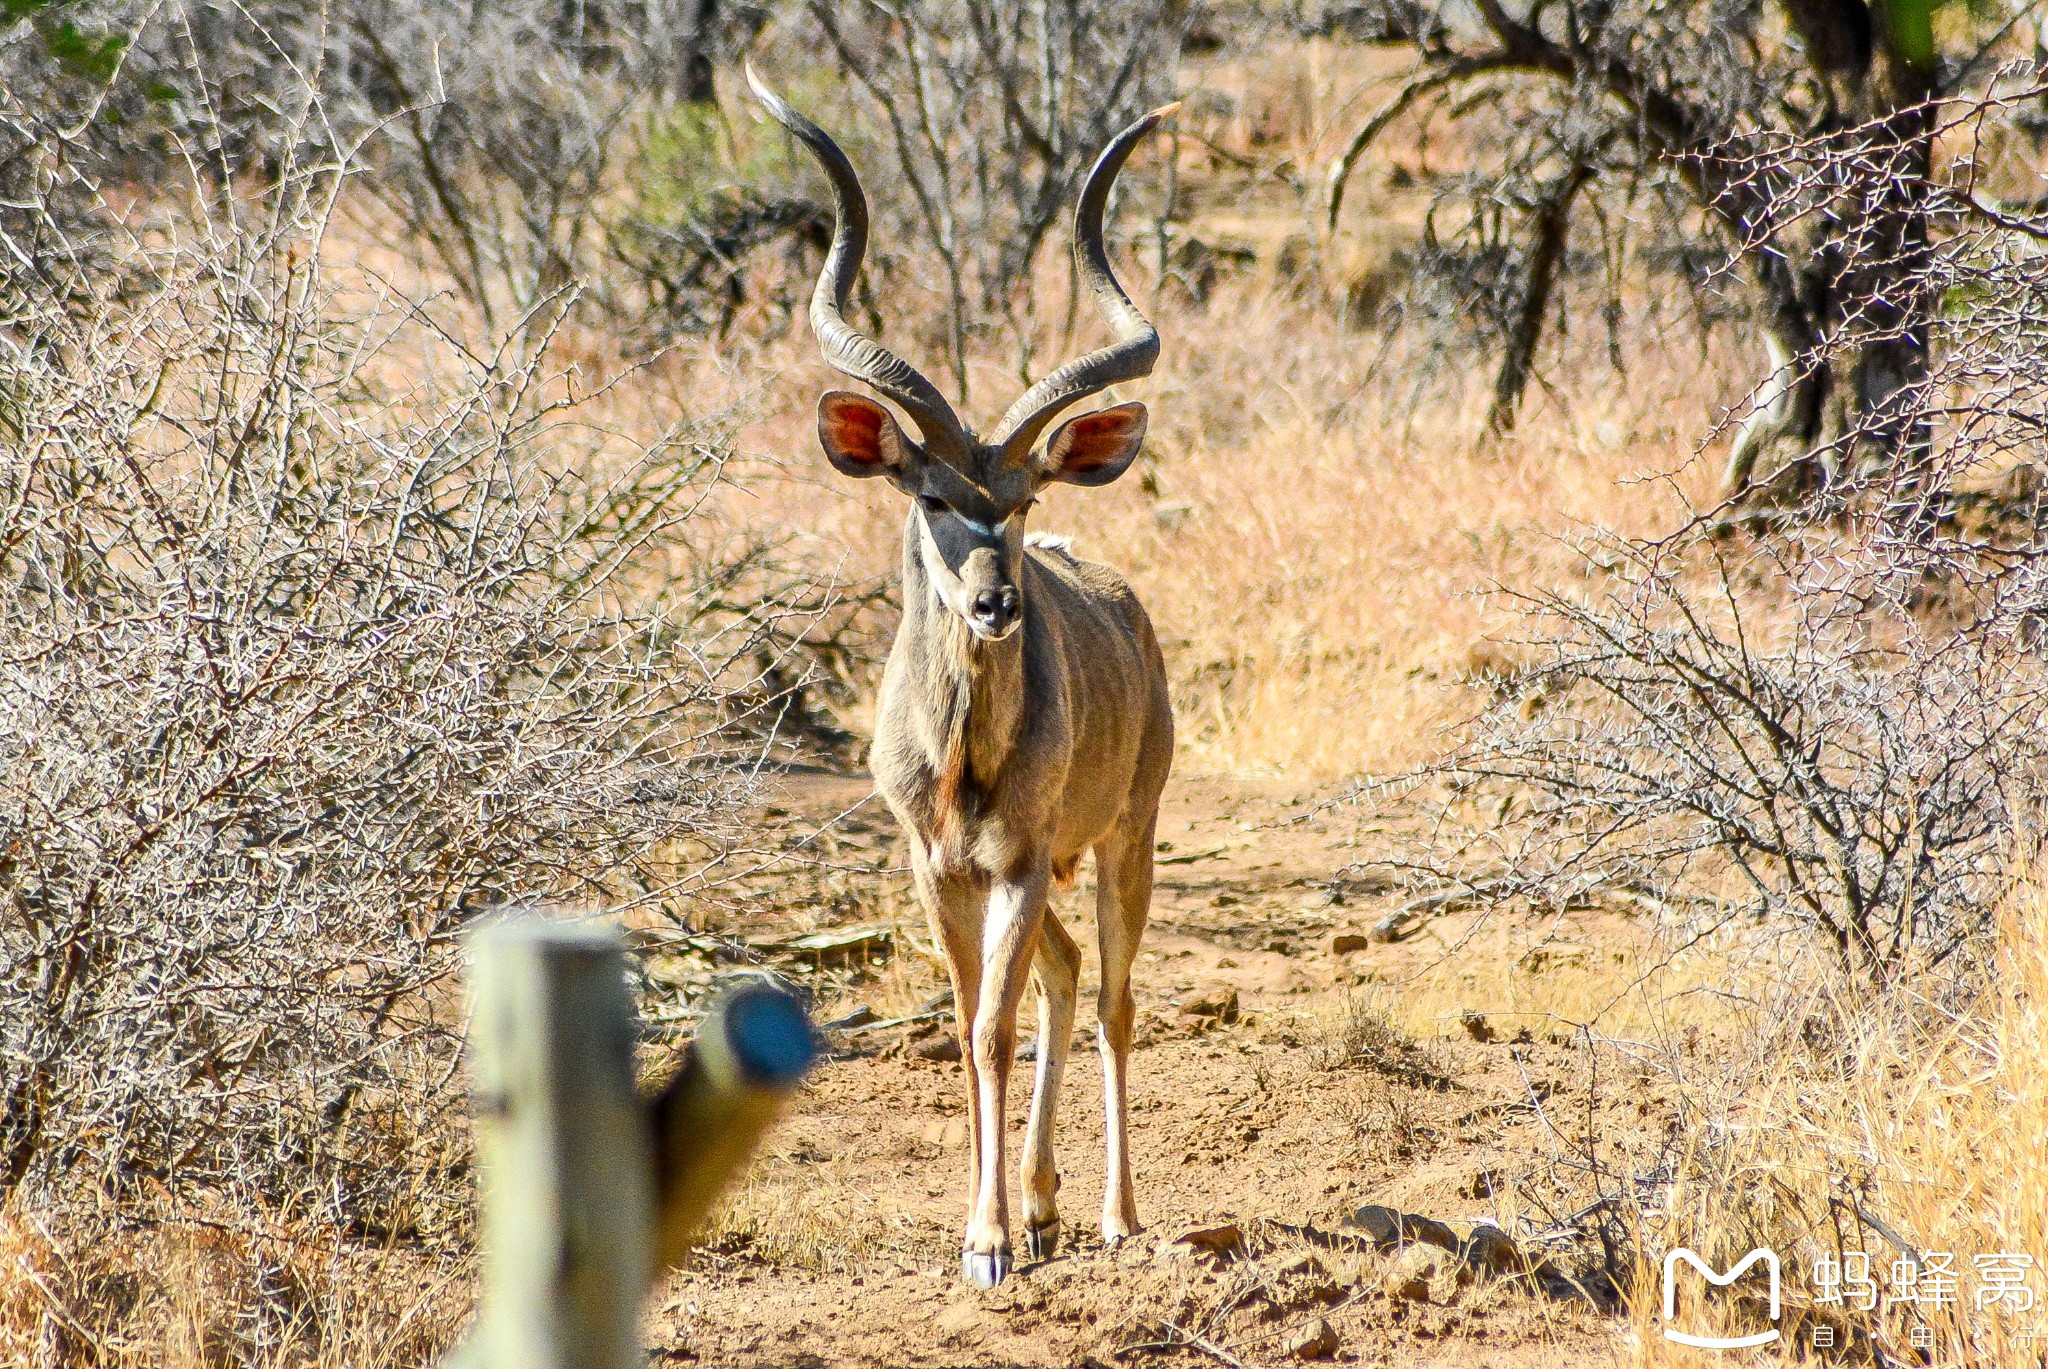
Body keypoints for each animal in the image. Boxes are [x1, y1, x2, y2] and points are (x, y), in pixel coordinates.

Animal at [753, 66, 1179, 1287]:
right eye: (934, 496)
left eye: (1024, 500)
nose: (995, 603)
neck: (960, 764)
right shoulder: (933, 864)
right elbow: (963, 1019)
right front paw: (991, 1227)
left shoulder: (1021, 859)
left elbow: (990, 1027)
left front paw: (989, 1243)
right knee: (1067, 971)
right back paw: (1042, 1206)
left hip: (1126, 836)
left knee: (1114, 993)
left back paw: (1111, 1214)